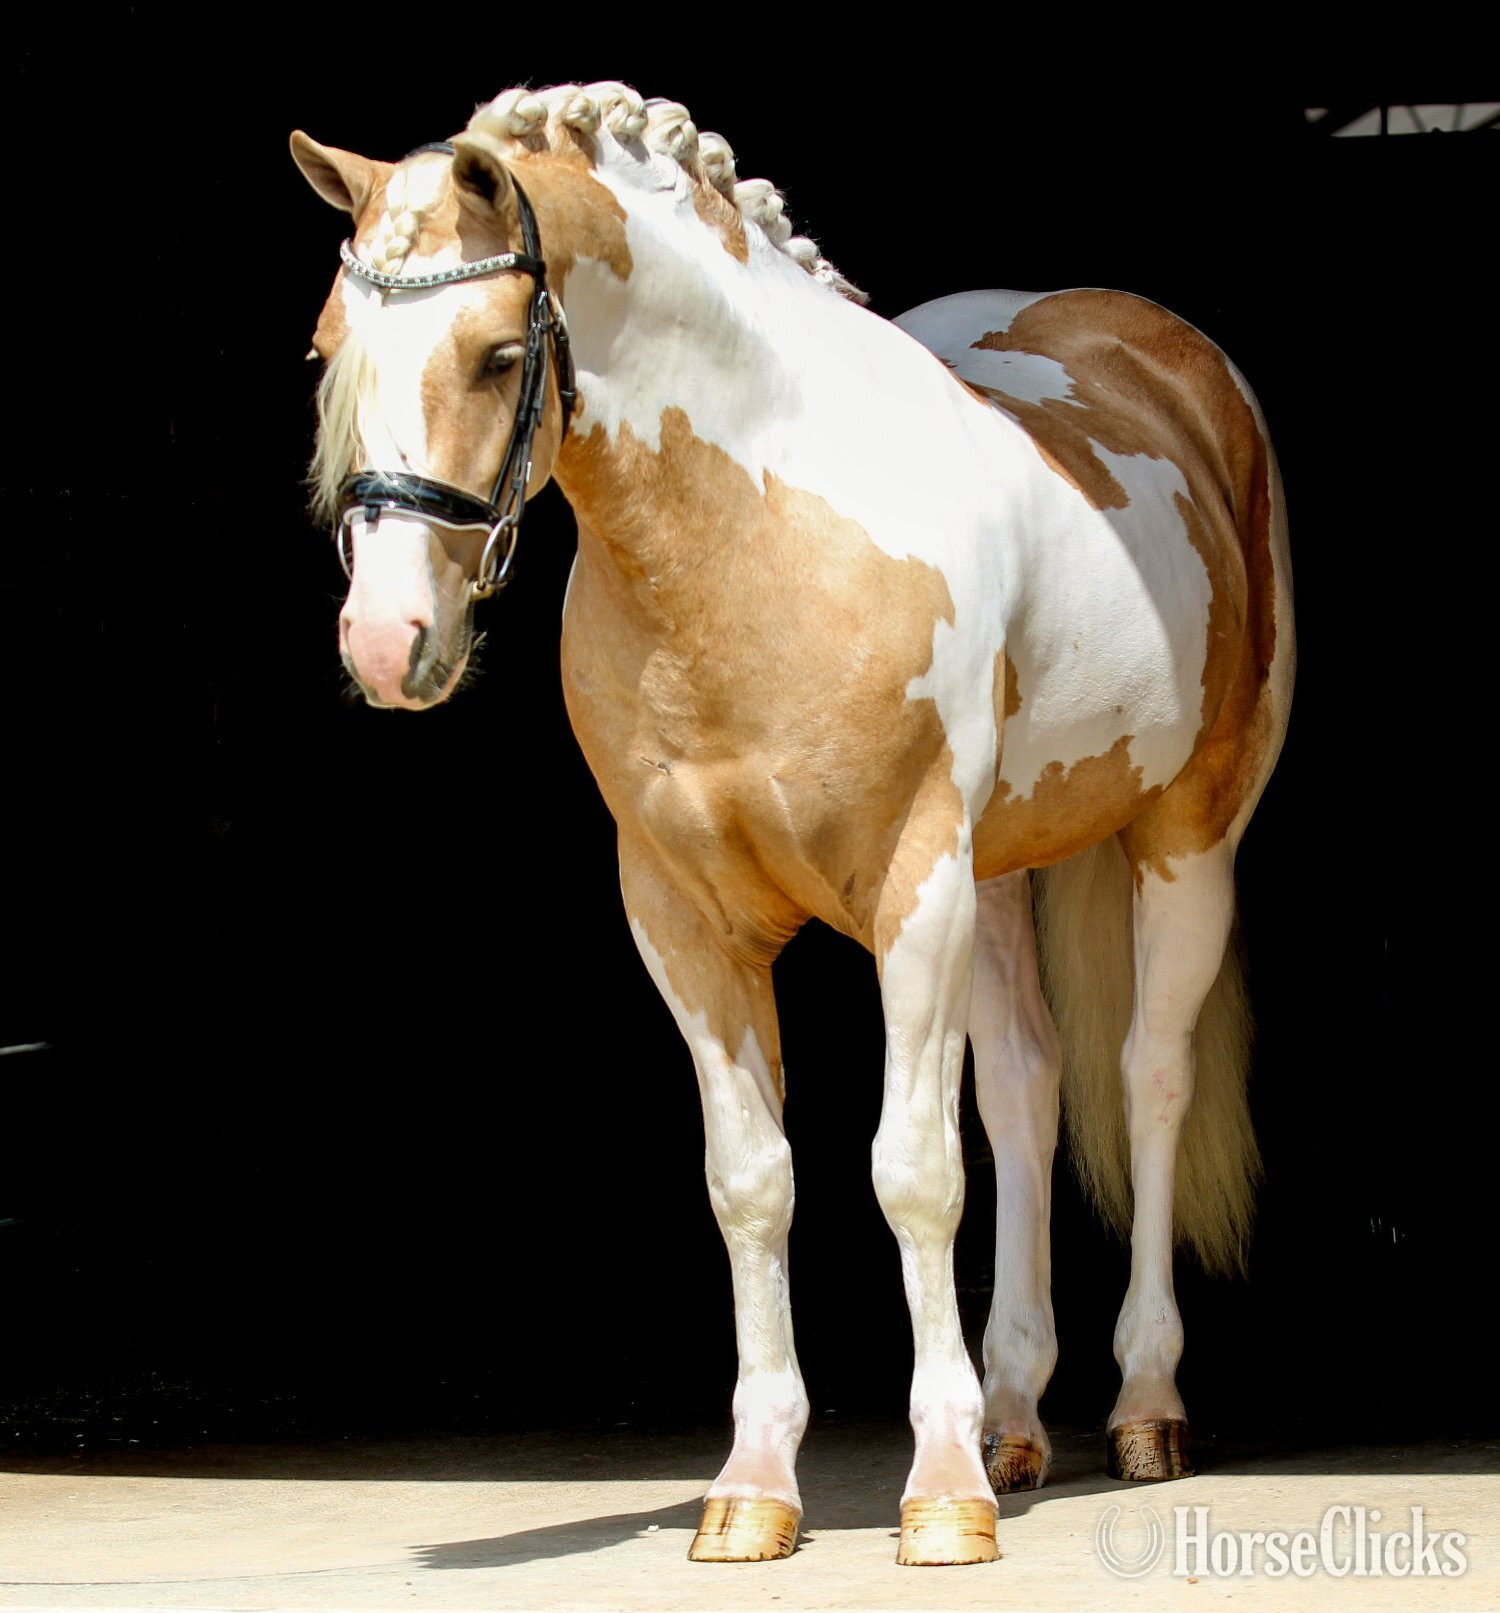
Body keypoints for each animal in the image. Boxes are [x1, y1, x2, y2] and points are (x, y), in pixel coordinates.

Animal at [291, 81, 1293, 1568]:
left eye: (491, 354)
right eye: (329, 349)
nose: (386, 639)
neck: (764, 542)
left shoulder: (915, 892)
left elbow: (913, 1170)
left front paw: (941, 1496)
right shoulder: (682, 920)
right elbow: (753, 1178)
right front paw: (757, 1487)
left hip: (1185, 838)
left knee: (1148, 1078)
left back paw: (1143, 1410)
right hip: (1002, 875)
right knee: (1030, 1090)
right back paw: (1016, 1418)